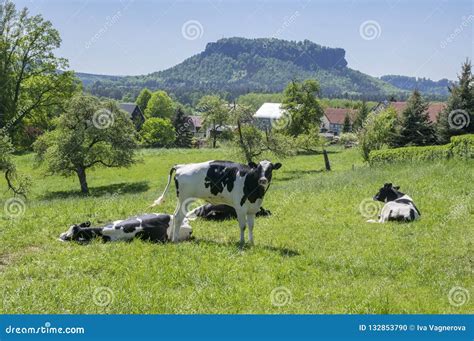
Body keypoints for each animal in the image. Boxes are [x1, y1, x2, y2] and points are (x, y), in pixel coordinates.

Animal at [151, 160, 282, 243]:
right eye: (258, 169)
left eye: (270, 169)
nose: (263, 180)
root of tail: (181, 166)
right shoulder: (240, 208)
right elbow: (243, 226)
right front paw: (242, 242)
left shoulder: (252, 209)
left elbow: (251, 226)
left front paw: (251, 242)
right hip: (185, 198)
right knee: (178, 217)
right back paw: (175, 240)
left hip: (182, 199)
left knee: (174, 215)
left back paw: (171, 237)